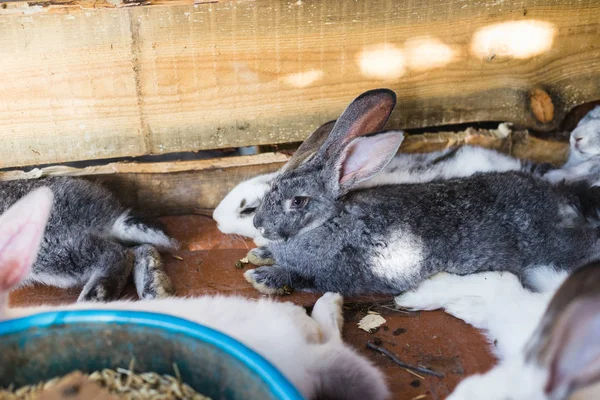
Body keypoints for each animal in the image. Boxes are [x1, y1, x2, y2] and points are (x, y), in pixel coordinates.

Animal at [0, 177, 177, 302]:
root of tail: (111, 217)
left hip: (49, 249)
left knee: (118, 254)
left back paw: (94, 297)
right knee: (140, 249)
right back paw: (156, 290)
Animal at [246, 90, 600, 296]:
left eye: (298, 201)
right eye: (271, 188)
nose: (258, 225)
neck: (328, 222)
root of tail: (556, 197)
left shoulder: (339, 276)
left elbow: (303, 278)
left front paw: (262, 276)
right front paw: (260, 253)